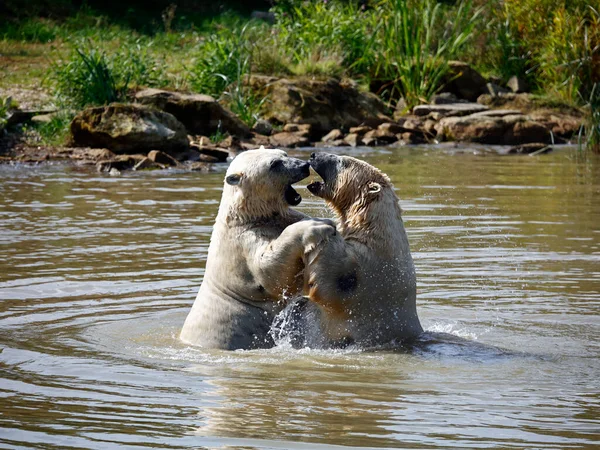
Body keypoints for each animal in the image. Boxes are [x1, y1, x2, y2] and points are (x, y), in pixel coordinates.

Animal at [180, 149, 336, 350]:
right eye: (274, 164)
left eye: (284, 154)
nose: (304, 165)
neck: (243, 216)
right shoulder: (243, 242)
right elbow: (269, 271)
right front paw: (319, 225)